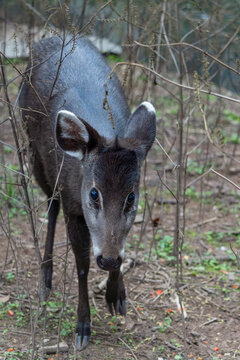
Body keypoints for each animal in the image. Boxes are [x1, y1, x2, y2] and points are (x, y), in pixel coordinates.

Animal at [19, 36, 157, 348]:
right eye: (94, 194)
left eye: (131, 196)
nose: (107, 259)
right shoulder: (74, 208)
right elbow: (82, 264)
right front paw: (82, 326)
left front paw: (117, 296)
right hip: (34, 153)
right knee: (51, 205)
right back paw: (45, 279)